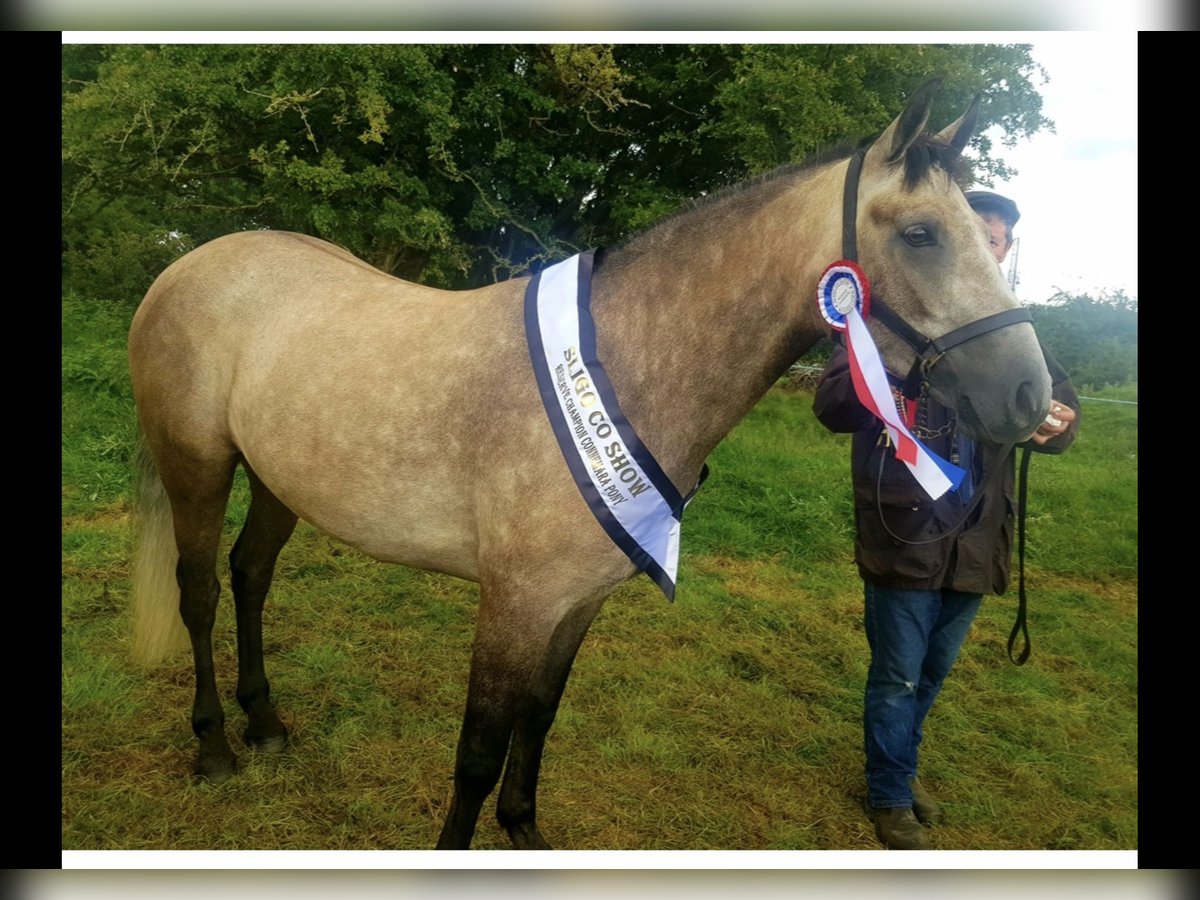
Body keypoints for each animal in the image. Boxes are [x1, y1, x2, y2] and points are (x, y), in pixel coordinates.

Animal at [128, 81, 1053, 850]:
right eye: (922, 234)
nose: (1029, 398)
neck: (623, 367)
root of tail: (190, 262)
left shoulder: (577, 602)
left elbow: (538, 719)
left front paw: (524, 832)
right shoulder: (514, 604)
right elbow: (476, 752)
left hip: (278, 477)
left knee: (251, 576)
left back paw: (266, 725)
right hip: (197, 464)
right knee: (201, 590)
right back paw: (215, 749)